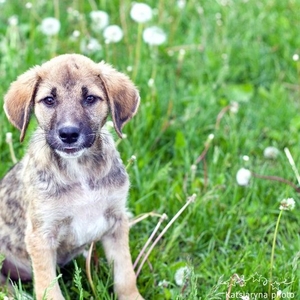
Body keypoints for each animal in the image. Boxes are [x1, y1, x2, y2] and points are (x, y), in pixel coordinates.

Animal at [0, 54, 145, 300]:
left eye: (90, 98)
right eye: (49, 100)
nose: (68, 134)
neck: (80, 170)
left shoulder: (116, 221)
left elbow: (125, 273)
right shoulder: (41, 236)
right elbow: (49, 288)